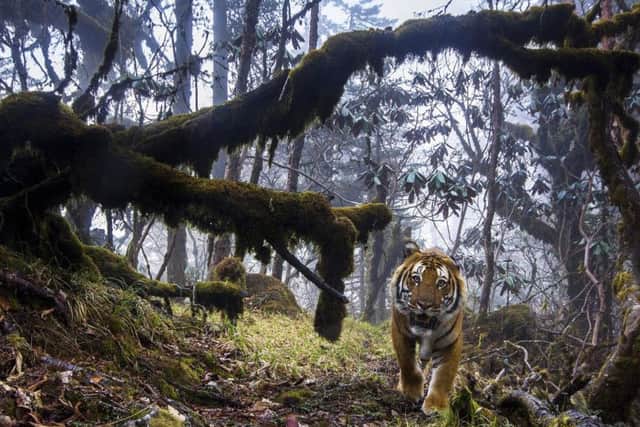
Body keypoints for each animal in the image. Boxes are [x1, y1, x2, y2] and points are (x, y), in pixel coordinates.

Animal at [390, 240, 466, 414]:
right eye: (416, 278)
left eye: (441, 283)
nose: (424, 305)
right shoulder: (400, 331)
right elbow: (407, 363)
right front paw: (411, 393)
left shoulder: (450, 342)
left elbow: (444, 375)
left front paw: (436, 406)